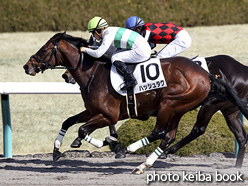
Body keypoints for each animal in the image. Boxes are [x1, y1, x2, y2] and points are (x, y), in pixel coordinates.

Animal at [22, 32, 246, 174]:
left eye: (44, 49)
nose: (27, 66)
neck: (93, 72)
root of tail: (207, 75)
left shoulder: (108, 115)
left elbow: (83, 130)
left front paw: (111, 143)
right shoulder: (92, 111)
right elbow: (68, 122)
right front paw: (56, 151)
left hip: (173, 104)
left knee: (162, 132)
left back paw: (132, 150)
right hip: (189, 109)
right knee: (170, 136)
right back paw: (145, 164)